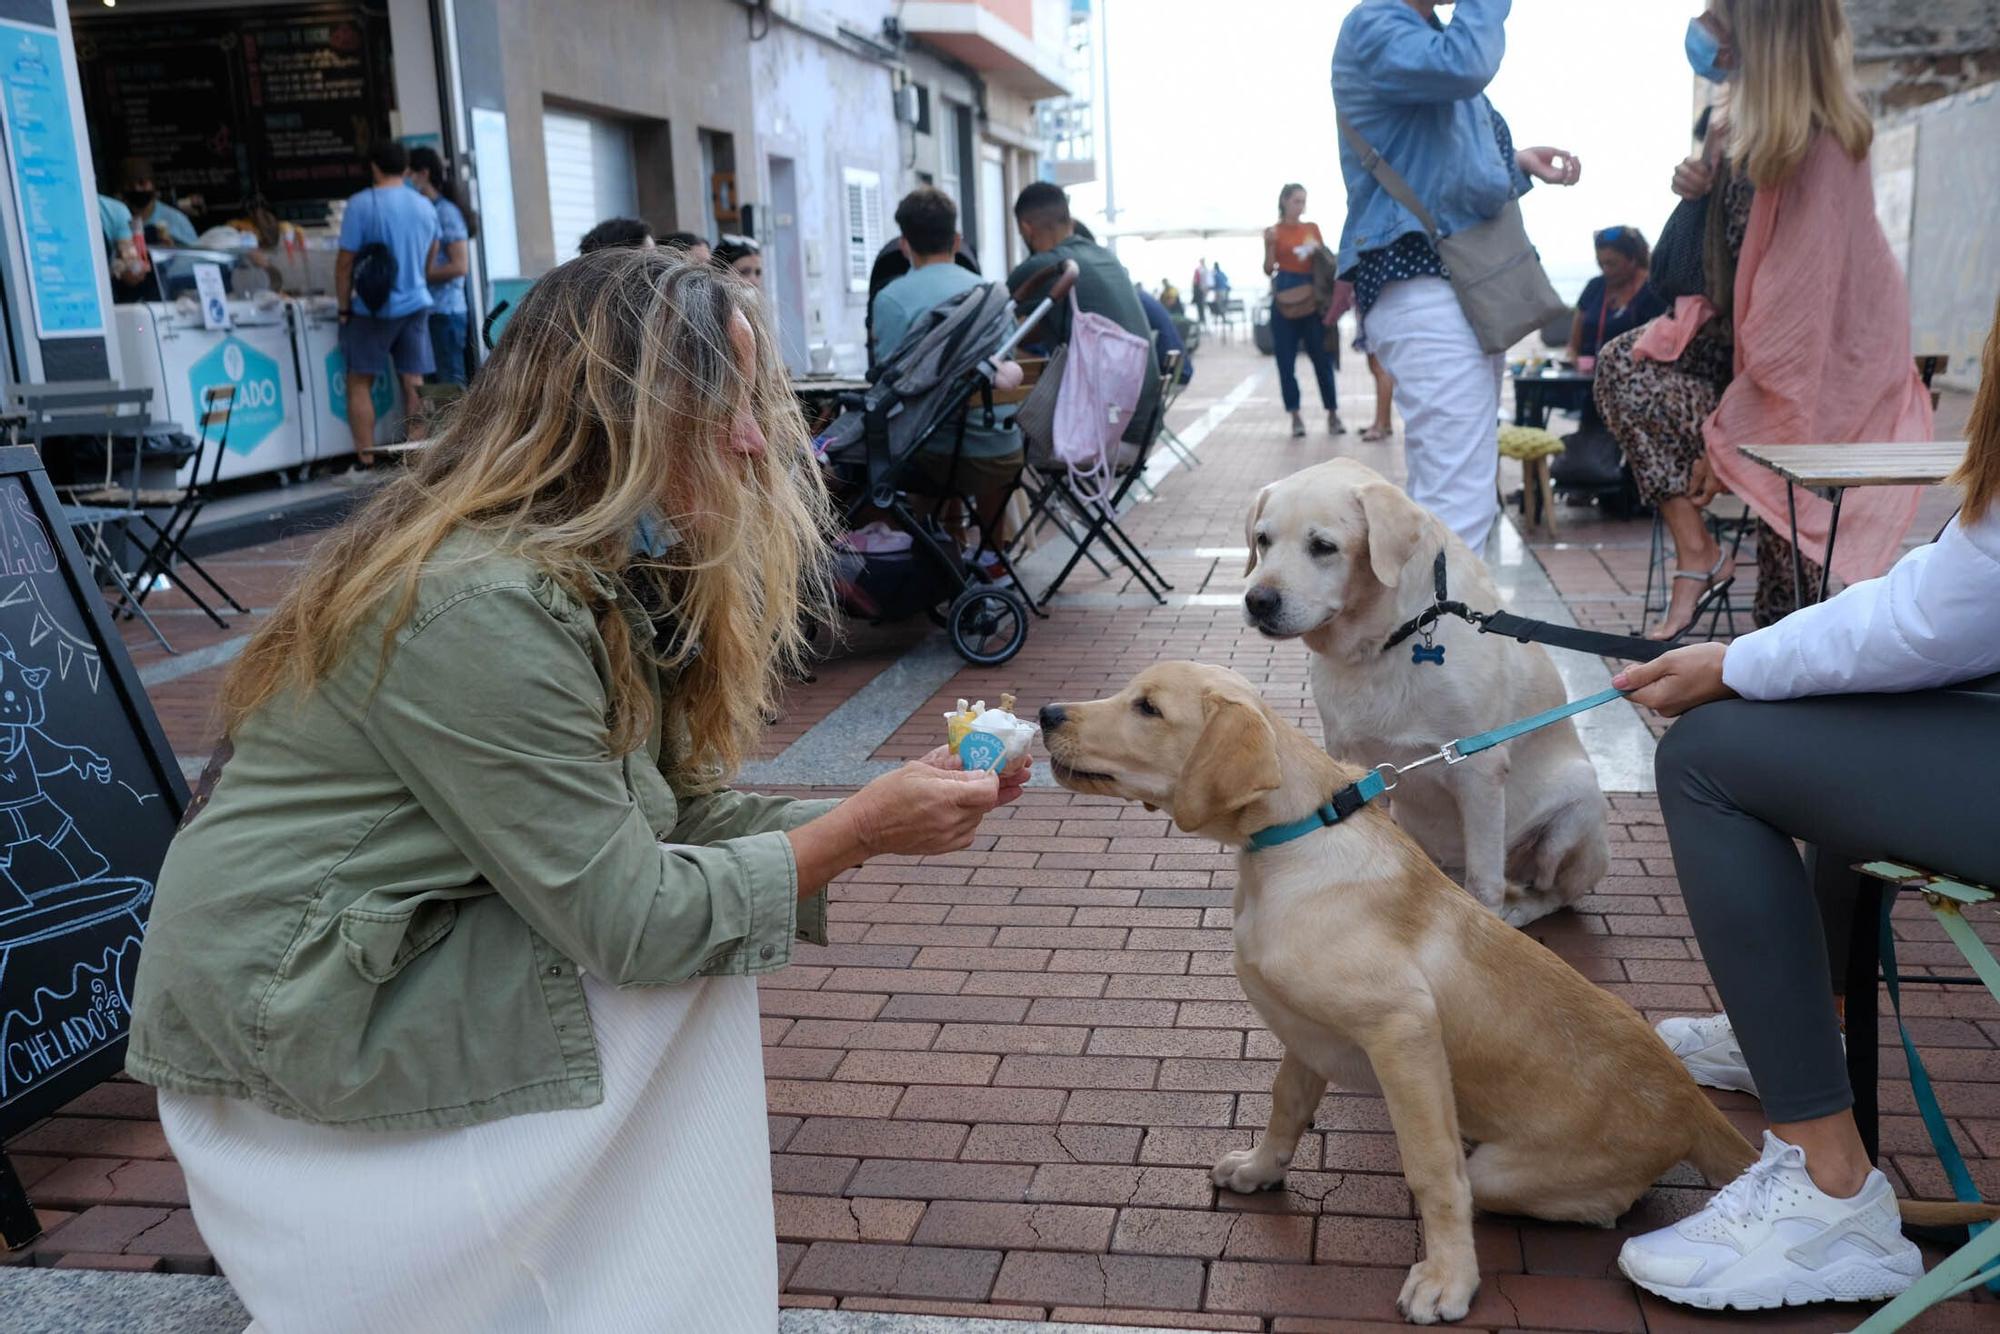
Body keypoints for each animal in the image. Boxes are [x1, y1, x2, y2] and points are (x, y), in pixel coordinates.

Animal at [1040, 664, 1760, 1328]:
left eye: (1149, 709)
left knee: (1550, 1196)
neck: (1294, 840)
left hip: (1510, 1169)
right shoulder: (1307, 1034)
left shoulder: (1403, 1030)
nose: (1047, 712)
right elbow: (1285, 1107)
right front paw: (1260, 1169)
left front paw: (1448, 1279)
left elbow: (1431, 1169)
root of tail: (1691, 1103)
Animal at [1240, 462, 1600, 928]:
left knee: (1554, 891)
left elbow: (1485, 883)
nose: (1257, 600)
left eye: (1323, 546)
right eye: (1263, 540)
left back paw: (1519, 910)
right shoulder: (1350, 760)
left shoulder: (1479, 770)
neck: (1387, 640)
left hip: (1579, 801)